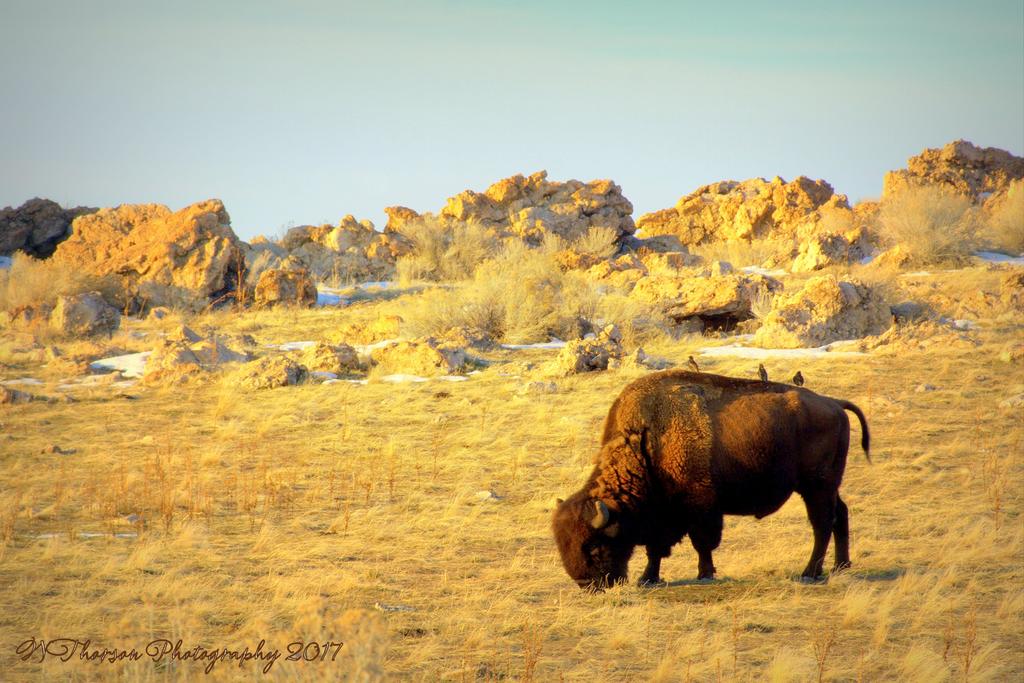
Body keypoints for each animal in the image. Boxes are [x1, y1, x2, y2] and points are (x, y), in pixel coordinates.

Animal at [557, 370, 868, 589]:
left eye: (594, 546)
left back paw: (810, 572)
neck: (646, 442)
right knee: (840, 514)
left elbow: (701, 543)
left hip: (816, 486)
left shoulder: (700, 506)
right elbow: (655, 549)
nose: (587, 584)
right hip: (827, 486)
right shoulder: (663, 515)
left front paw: (704, 574)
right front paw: (648, 578)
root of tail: (833, 403)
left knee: (822, 523)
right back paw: (841, 566)